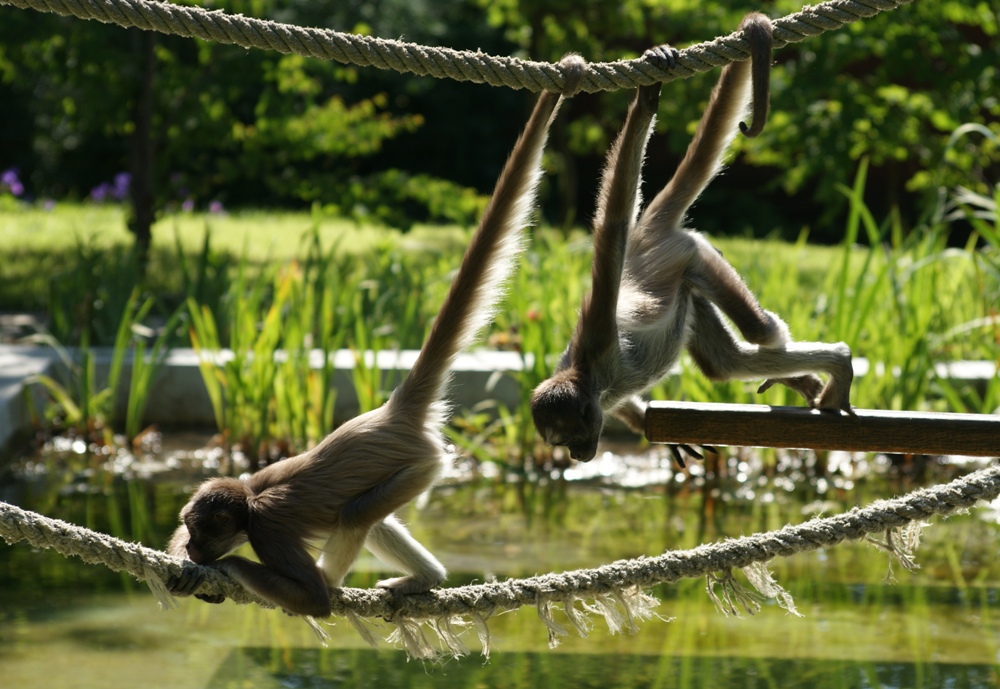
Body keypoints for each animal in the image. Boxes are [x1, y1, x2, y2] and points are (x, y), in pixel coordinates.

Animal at [163, 56, 584, 616]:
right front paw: (187, 568)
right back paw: (425, 579)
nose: (193, 546)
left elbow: (313, 599)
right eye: (189, 530)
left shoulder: (268, 530)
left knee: (356, 515)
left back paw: (341, 579)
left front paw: (226, 567)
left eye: (204, 533)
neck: (251, 500)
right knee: (369, 515)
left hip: (420, 466)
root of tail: (393, 411)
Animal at [532, 12, 852, 462]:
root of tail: (646, 239)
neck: (592, 378)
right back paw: (813, 370)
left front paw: (645, 102)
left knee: (760, 332)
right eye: (561, 445)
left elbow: (612, 223)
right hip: (689, 285)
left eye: (571, 438)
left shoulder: (598, 333)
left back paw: (823, 354)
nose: (579, 455)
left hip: (689, 254)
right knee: (725, 363)